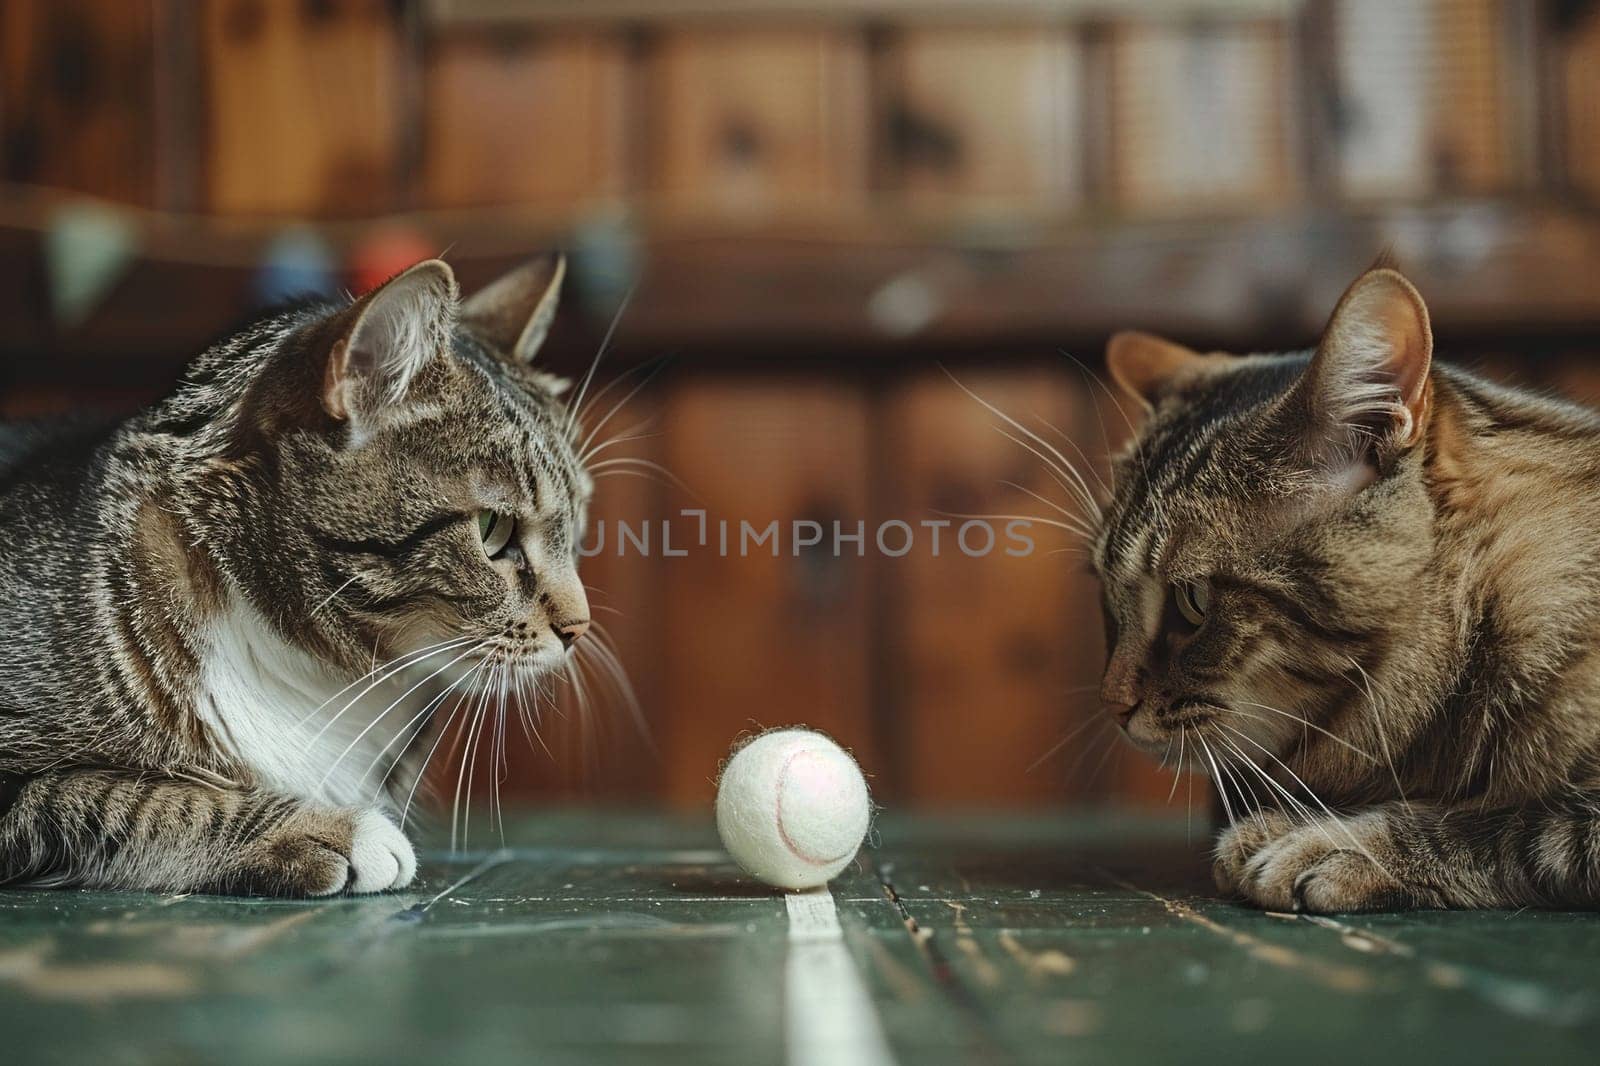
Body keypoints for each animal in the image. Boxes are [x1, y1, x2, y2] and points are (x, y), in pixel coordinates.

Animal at [0, 252, 595, 889]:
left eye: (577, 526)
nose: (579, 628)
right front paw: (328, 829)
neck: (317, 676)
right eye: (492, 530)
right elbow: (124, 797)